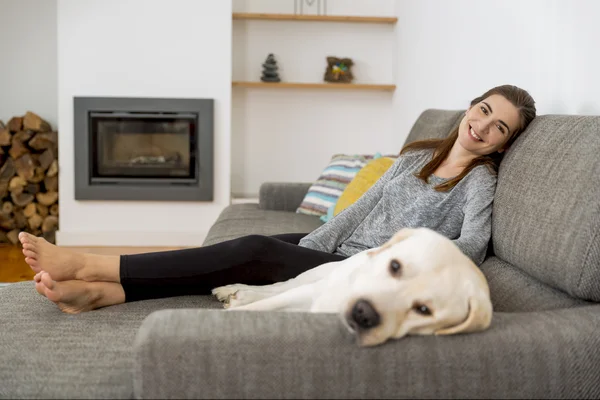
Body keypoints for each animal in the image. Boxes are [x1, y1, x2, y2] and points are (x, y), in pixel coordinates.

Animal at [212, 228, 492, 346]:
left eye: (424, 310)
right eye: (395, 266)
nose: (364, 312)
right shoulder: (307, 293)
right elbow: (267, 302)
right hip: (316, 275)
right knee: (282, 286)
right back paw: (234, 290)